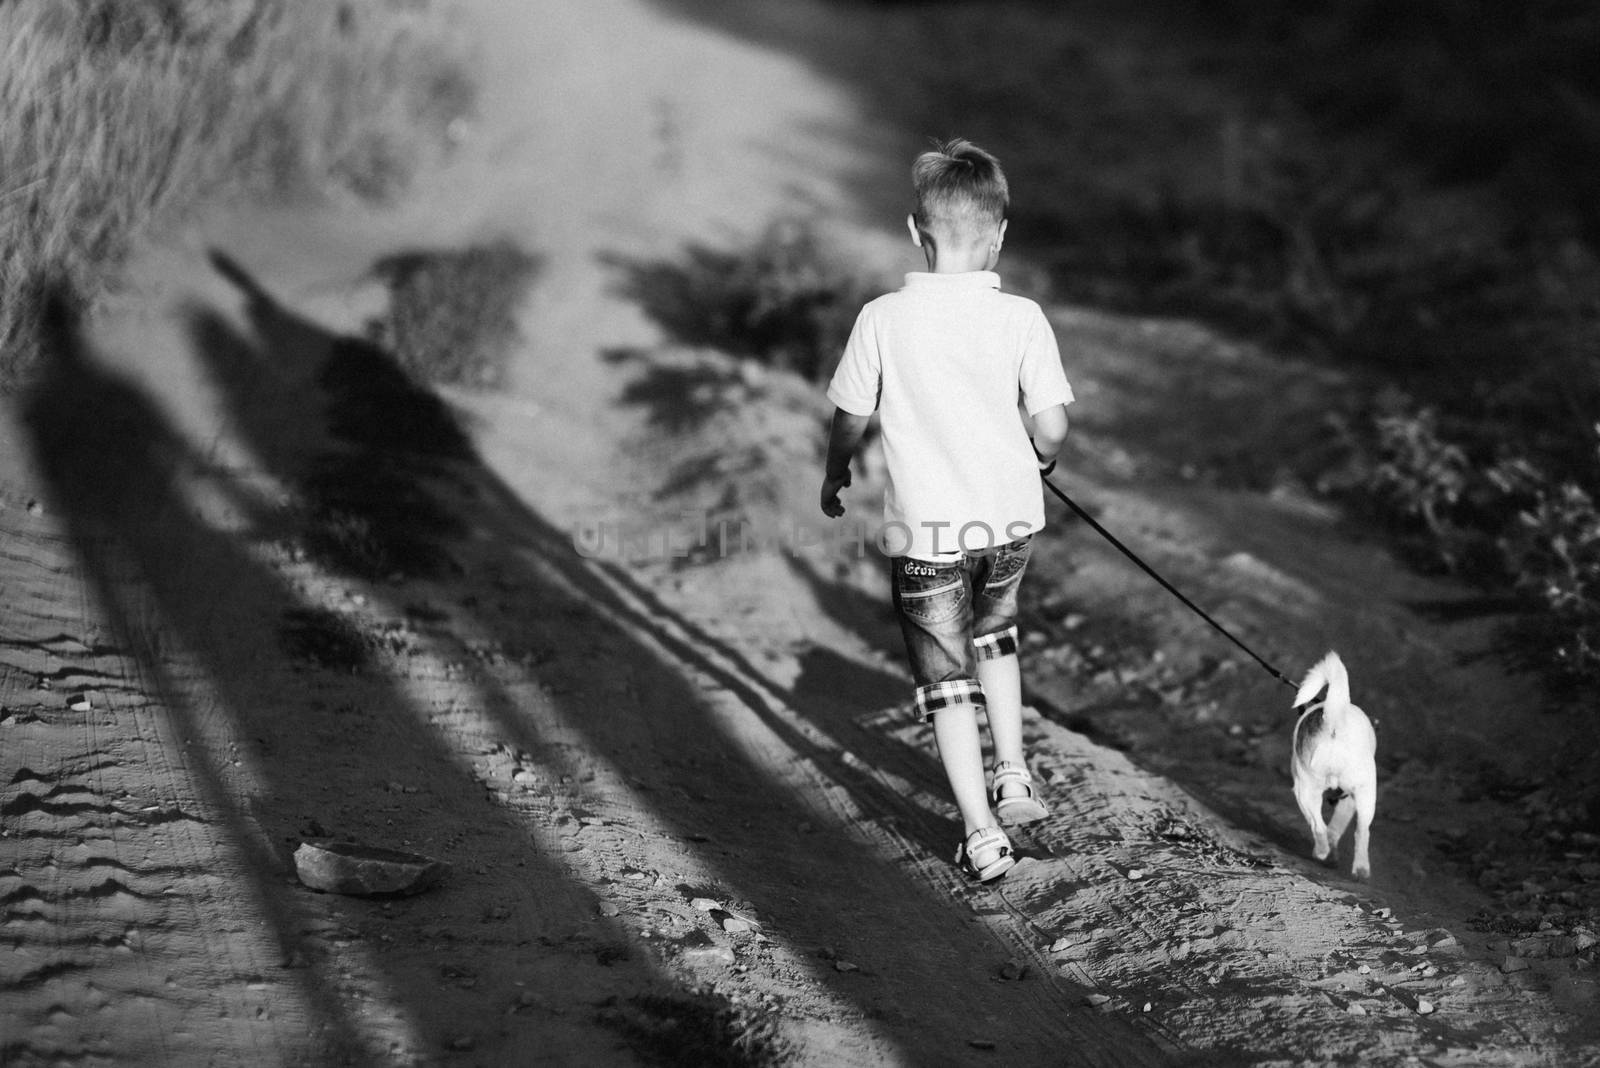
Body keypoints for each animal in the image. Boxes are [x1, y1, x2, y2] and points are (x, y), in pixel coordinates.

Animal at [1286, 655, 1376, 882]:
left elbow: (1330, 829)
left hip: (1306, 791)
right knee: (1360, 831)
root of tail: (1332, 723)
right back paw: (1354, 866)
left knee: (1321, 827)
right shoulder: (1348, 801)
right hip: (1363, 793)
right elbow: (1336, 829)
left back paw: (1328, 854)